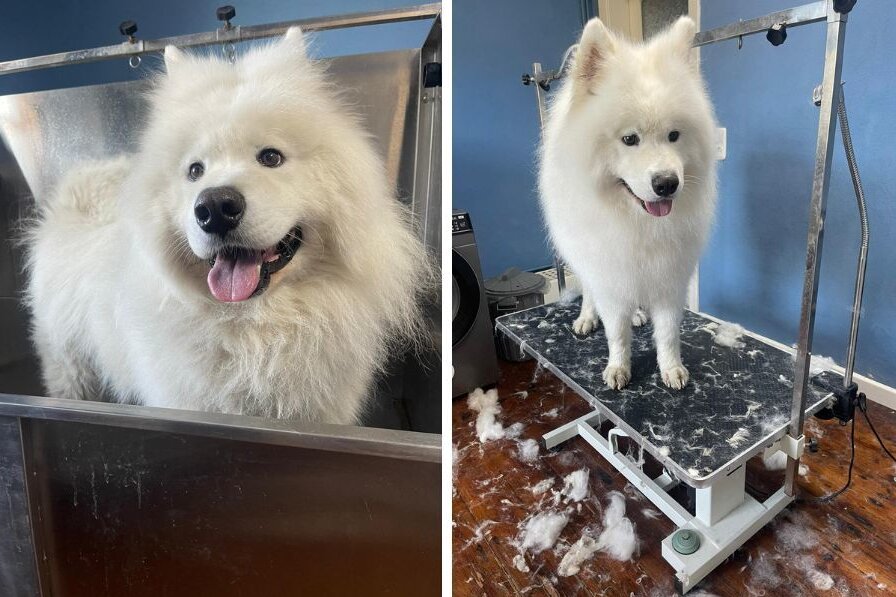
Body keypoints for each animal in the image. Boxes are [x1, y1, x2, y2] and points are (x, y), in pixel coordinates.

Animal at [540, 16, 720, 388]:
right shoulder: (609, 271)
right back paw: (587, 317)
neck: (638, 223)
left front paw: (671, 369)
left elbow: (667, 332)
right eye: (629, 139)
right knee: (589, 290)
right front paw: (618, 368)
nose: (667, 184)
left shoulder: (669, 275)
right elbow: (617, 332)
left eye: (674, 135)